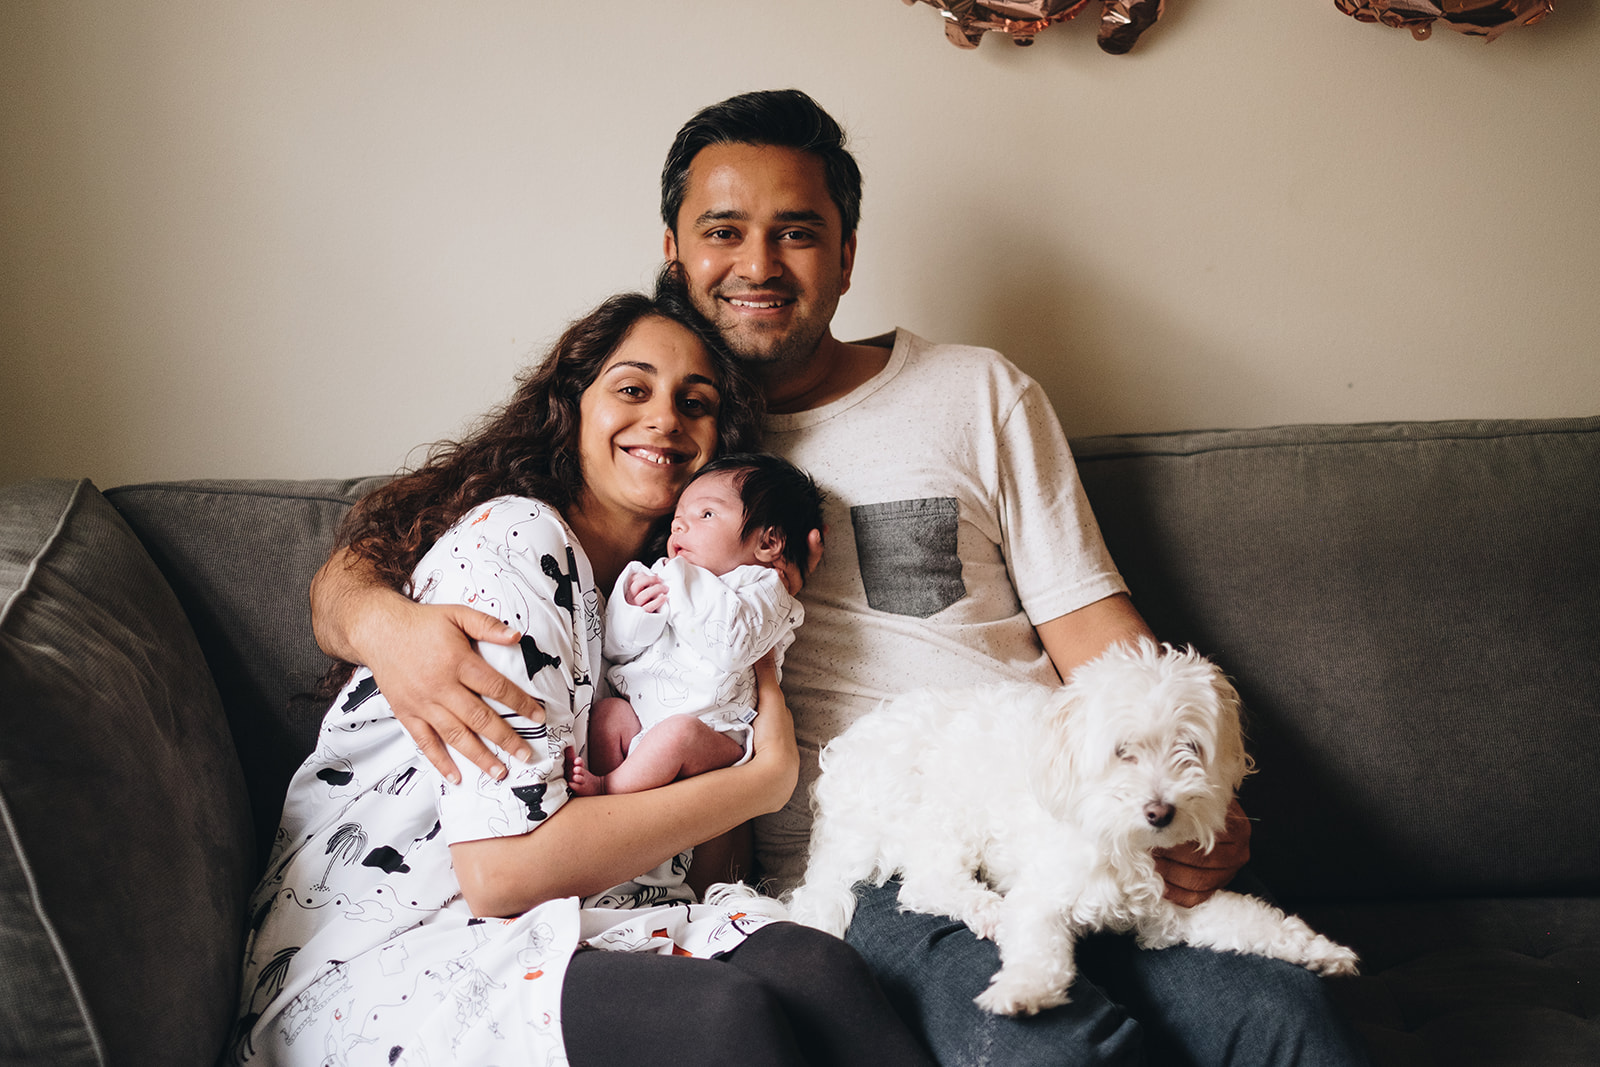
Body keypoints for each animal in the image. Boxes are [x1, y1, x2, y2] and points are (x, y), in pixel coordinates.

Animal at [780, 639, 1356, 1017]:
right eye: (1123, 752)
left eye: (1188, 748)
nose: (1160, 811)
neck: (1125, 843)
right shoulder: (1044, 893)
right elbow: (1038, 947)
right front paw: (1022, 990)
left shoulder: (1176, 908)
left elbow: (1257, 923)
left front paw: (1321, 952)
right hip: (939, 812)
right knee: (927, 883)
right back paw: (987, 908)